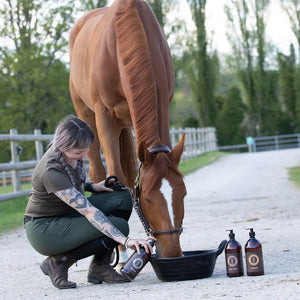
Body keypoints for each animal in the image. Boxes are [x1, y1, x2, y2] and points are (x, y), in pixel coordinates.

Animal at [69, 0, 188, 258]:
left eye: (183, 193)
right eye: (148, 200)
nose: (173, 252)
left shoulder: (163, 105)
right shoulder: (104, 116)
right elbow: (116, 177)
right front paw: (123, 252)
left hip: (125, 125)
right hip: (87, 115)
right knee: (99, 172)